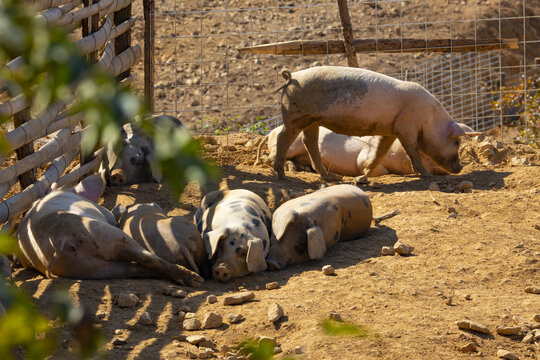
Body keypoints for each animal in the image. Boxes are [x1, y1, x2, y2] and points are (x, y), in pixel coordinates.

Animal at [274, 65, 480, 179]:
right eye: (456, 142)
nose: (461, 167)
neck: (428, 119)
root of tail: (292, 77)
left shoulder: (390, 130)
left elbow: (380, 151)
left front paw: (363, 175)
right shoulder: (406, 126)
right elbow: (412, 150)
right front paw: (426, 175)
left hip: (312, 120)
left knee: (310, 142)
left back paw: (331, 177)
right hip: (296, 116)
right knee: (283, 138)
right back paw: (281, 174)